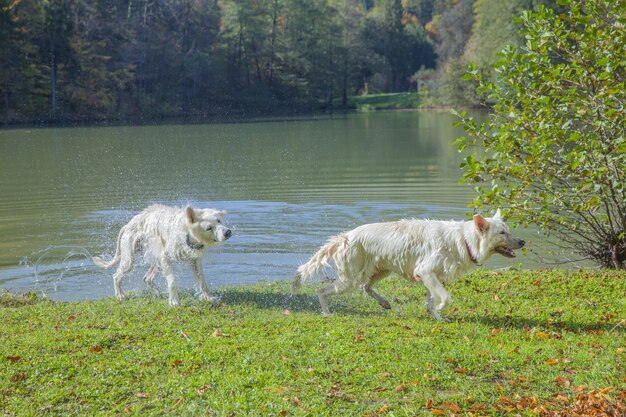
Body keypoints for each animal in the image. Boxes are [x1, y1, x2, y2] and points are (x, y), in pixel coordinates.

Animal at [92, 205, 229, 306]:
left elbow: (202, 281)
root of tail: (128, 225)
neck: (187, 233)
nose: (228, 232)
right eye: (209, 228)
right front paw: (174, 301)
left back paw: (158, 292)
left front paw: (209, 297)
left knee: (146, 278)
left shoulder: (194, 260)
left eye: (219, 220)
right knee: (116, 276)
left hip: (155, 260)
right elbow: (172, 280)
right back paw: (120, 295)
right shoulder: (165, 257)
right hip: (129, 260)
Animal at [292, 210, 520, 320]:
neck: (464, 240)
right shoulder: (426, 272)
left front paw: (437, 317)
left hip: (381, 271)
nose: (523, 242)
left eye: (508, 230)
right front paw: (440, 309)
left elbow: (431, 301)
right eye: (502, 233)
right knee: (322, 290)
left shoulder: (431, 277)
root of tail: (345, 236)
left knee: (365, 287)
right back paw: (326, 312)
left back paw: (384, 303)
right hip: (348, 280)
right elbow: (446, 298)